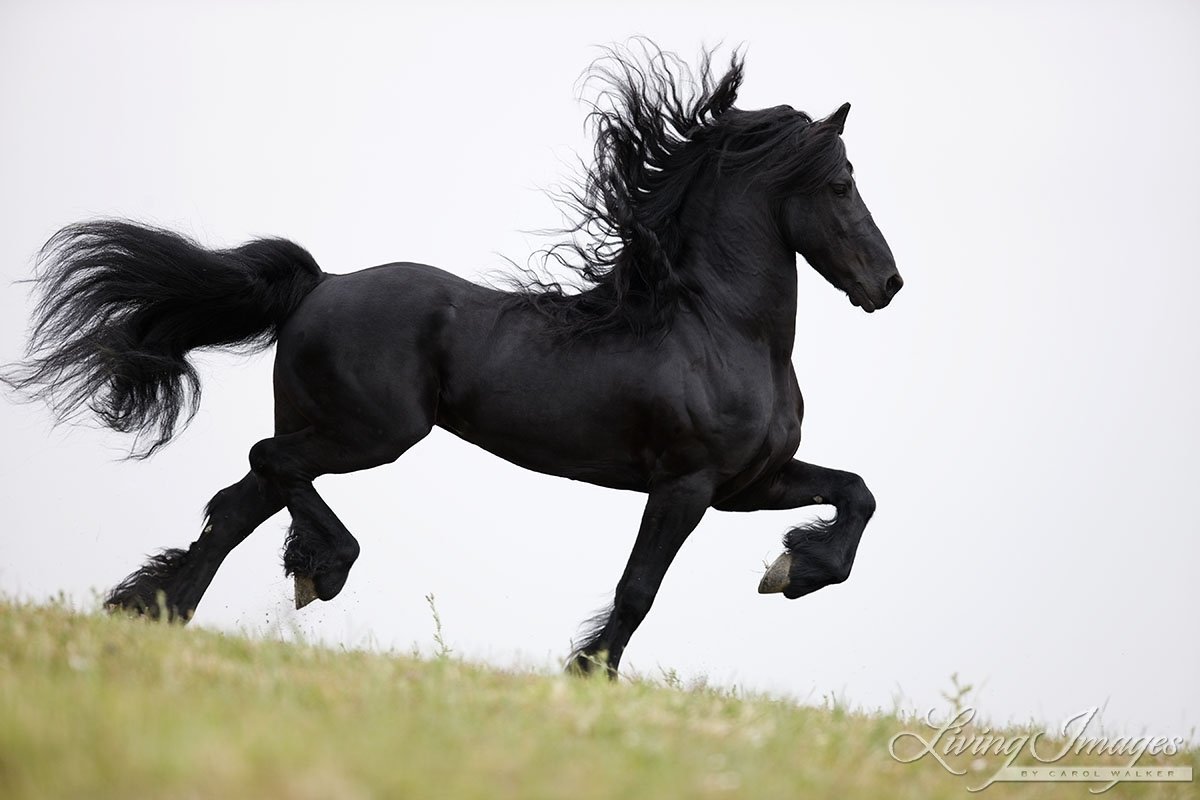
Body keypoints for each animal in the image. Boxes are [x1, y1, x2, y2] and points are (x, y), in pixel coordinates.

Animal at [4, 43, 902, 676]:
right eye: (842, 184)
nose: (887, 283)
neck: (717, 328)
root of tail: (321, 285)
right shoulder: (686, 485)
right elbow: (638, 588)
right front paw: (589, 674)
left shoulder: (747, 485)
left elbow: (856, 494)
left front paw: (794, 568)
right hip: (371, 433)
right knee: (265, 469)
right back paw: (319, 570)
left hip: (326, 427)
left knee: (239, 501)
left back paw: (157, 611)